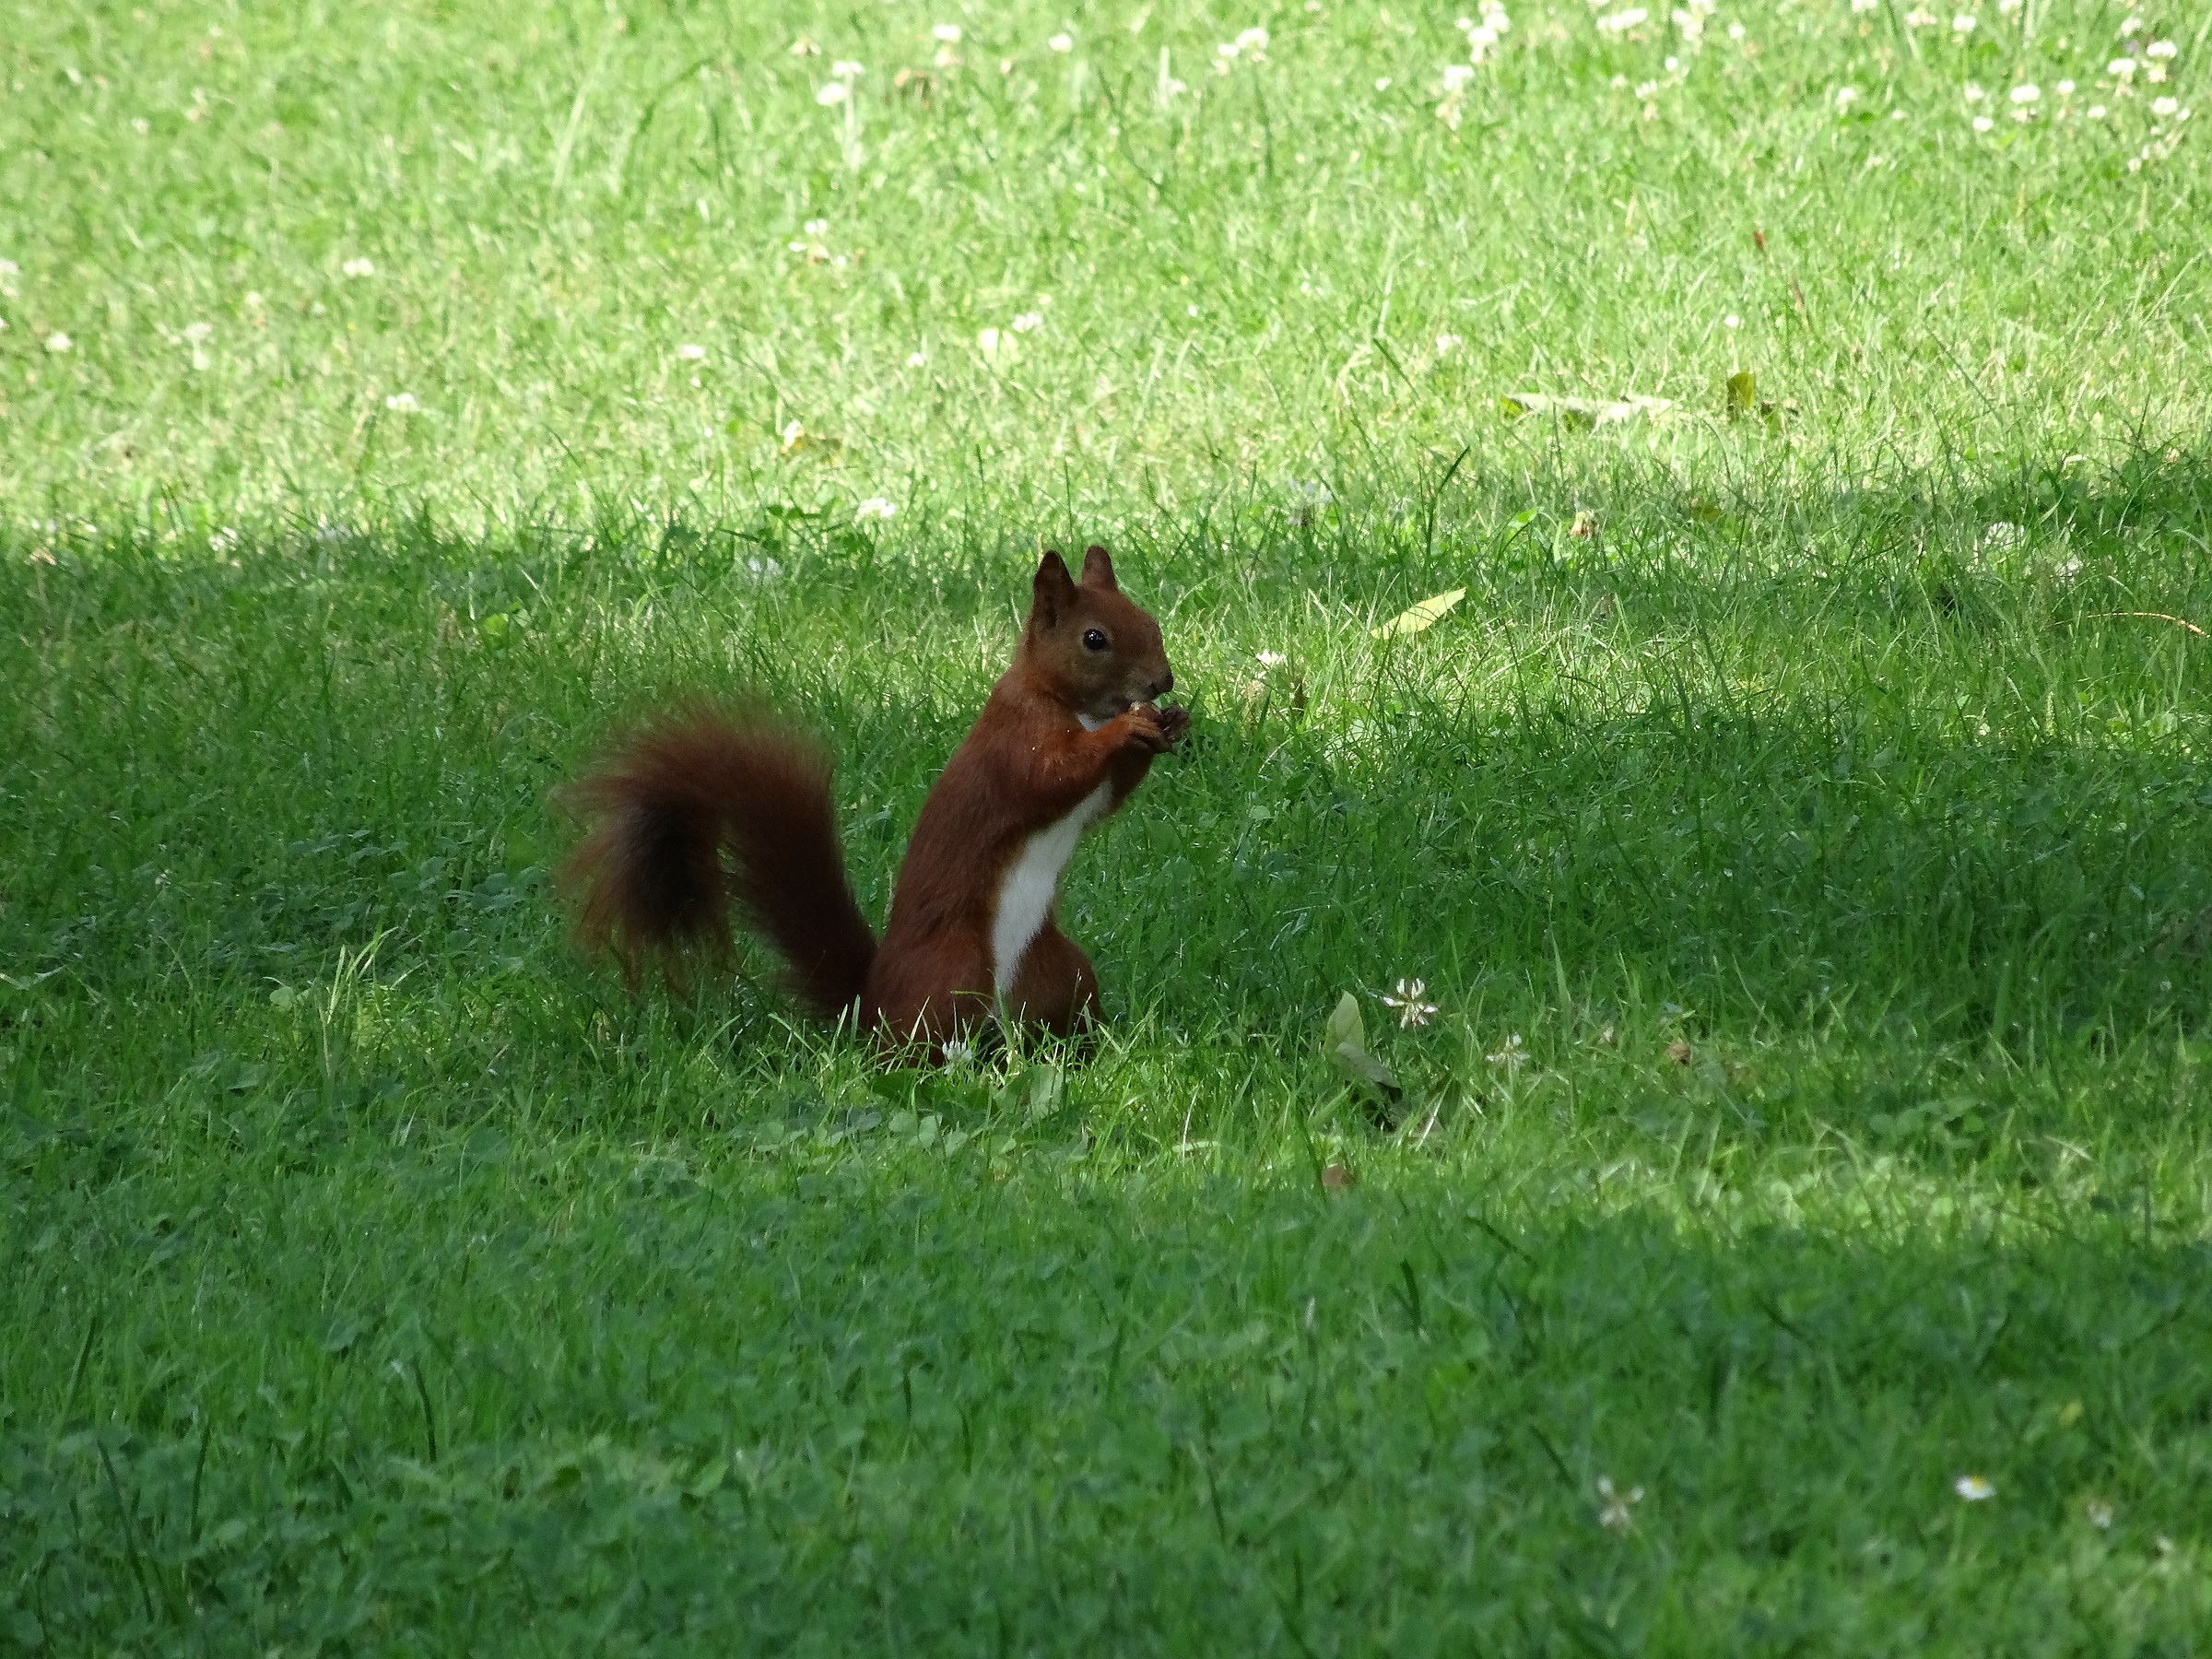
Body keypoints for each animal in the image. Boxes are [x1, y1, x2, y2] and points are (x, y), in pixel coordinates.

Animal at [561, 545, 1189, 1050]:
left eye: (1149, 619)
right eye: (1094, 639)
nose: (1162, 682)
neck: (1069, 704)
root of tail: (872, 1006)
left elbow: (1106, 798)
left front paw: (1171, 724)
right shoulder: (1016, 743)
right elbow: (1053, 776)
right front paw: (1128, 729)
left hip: (1061, 972)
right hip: (953, 971)